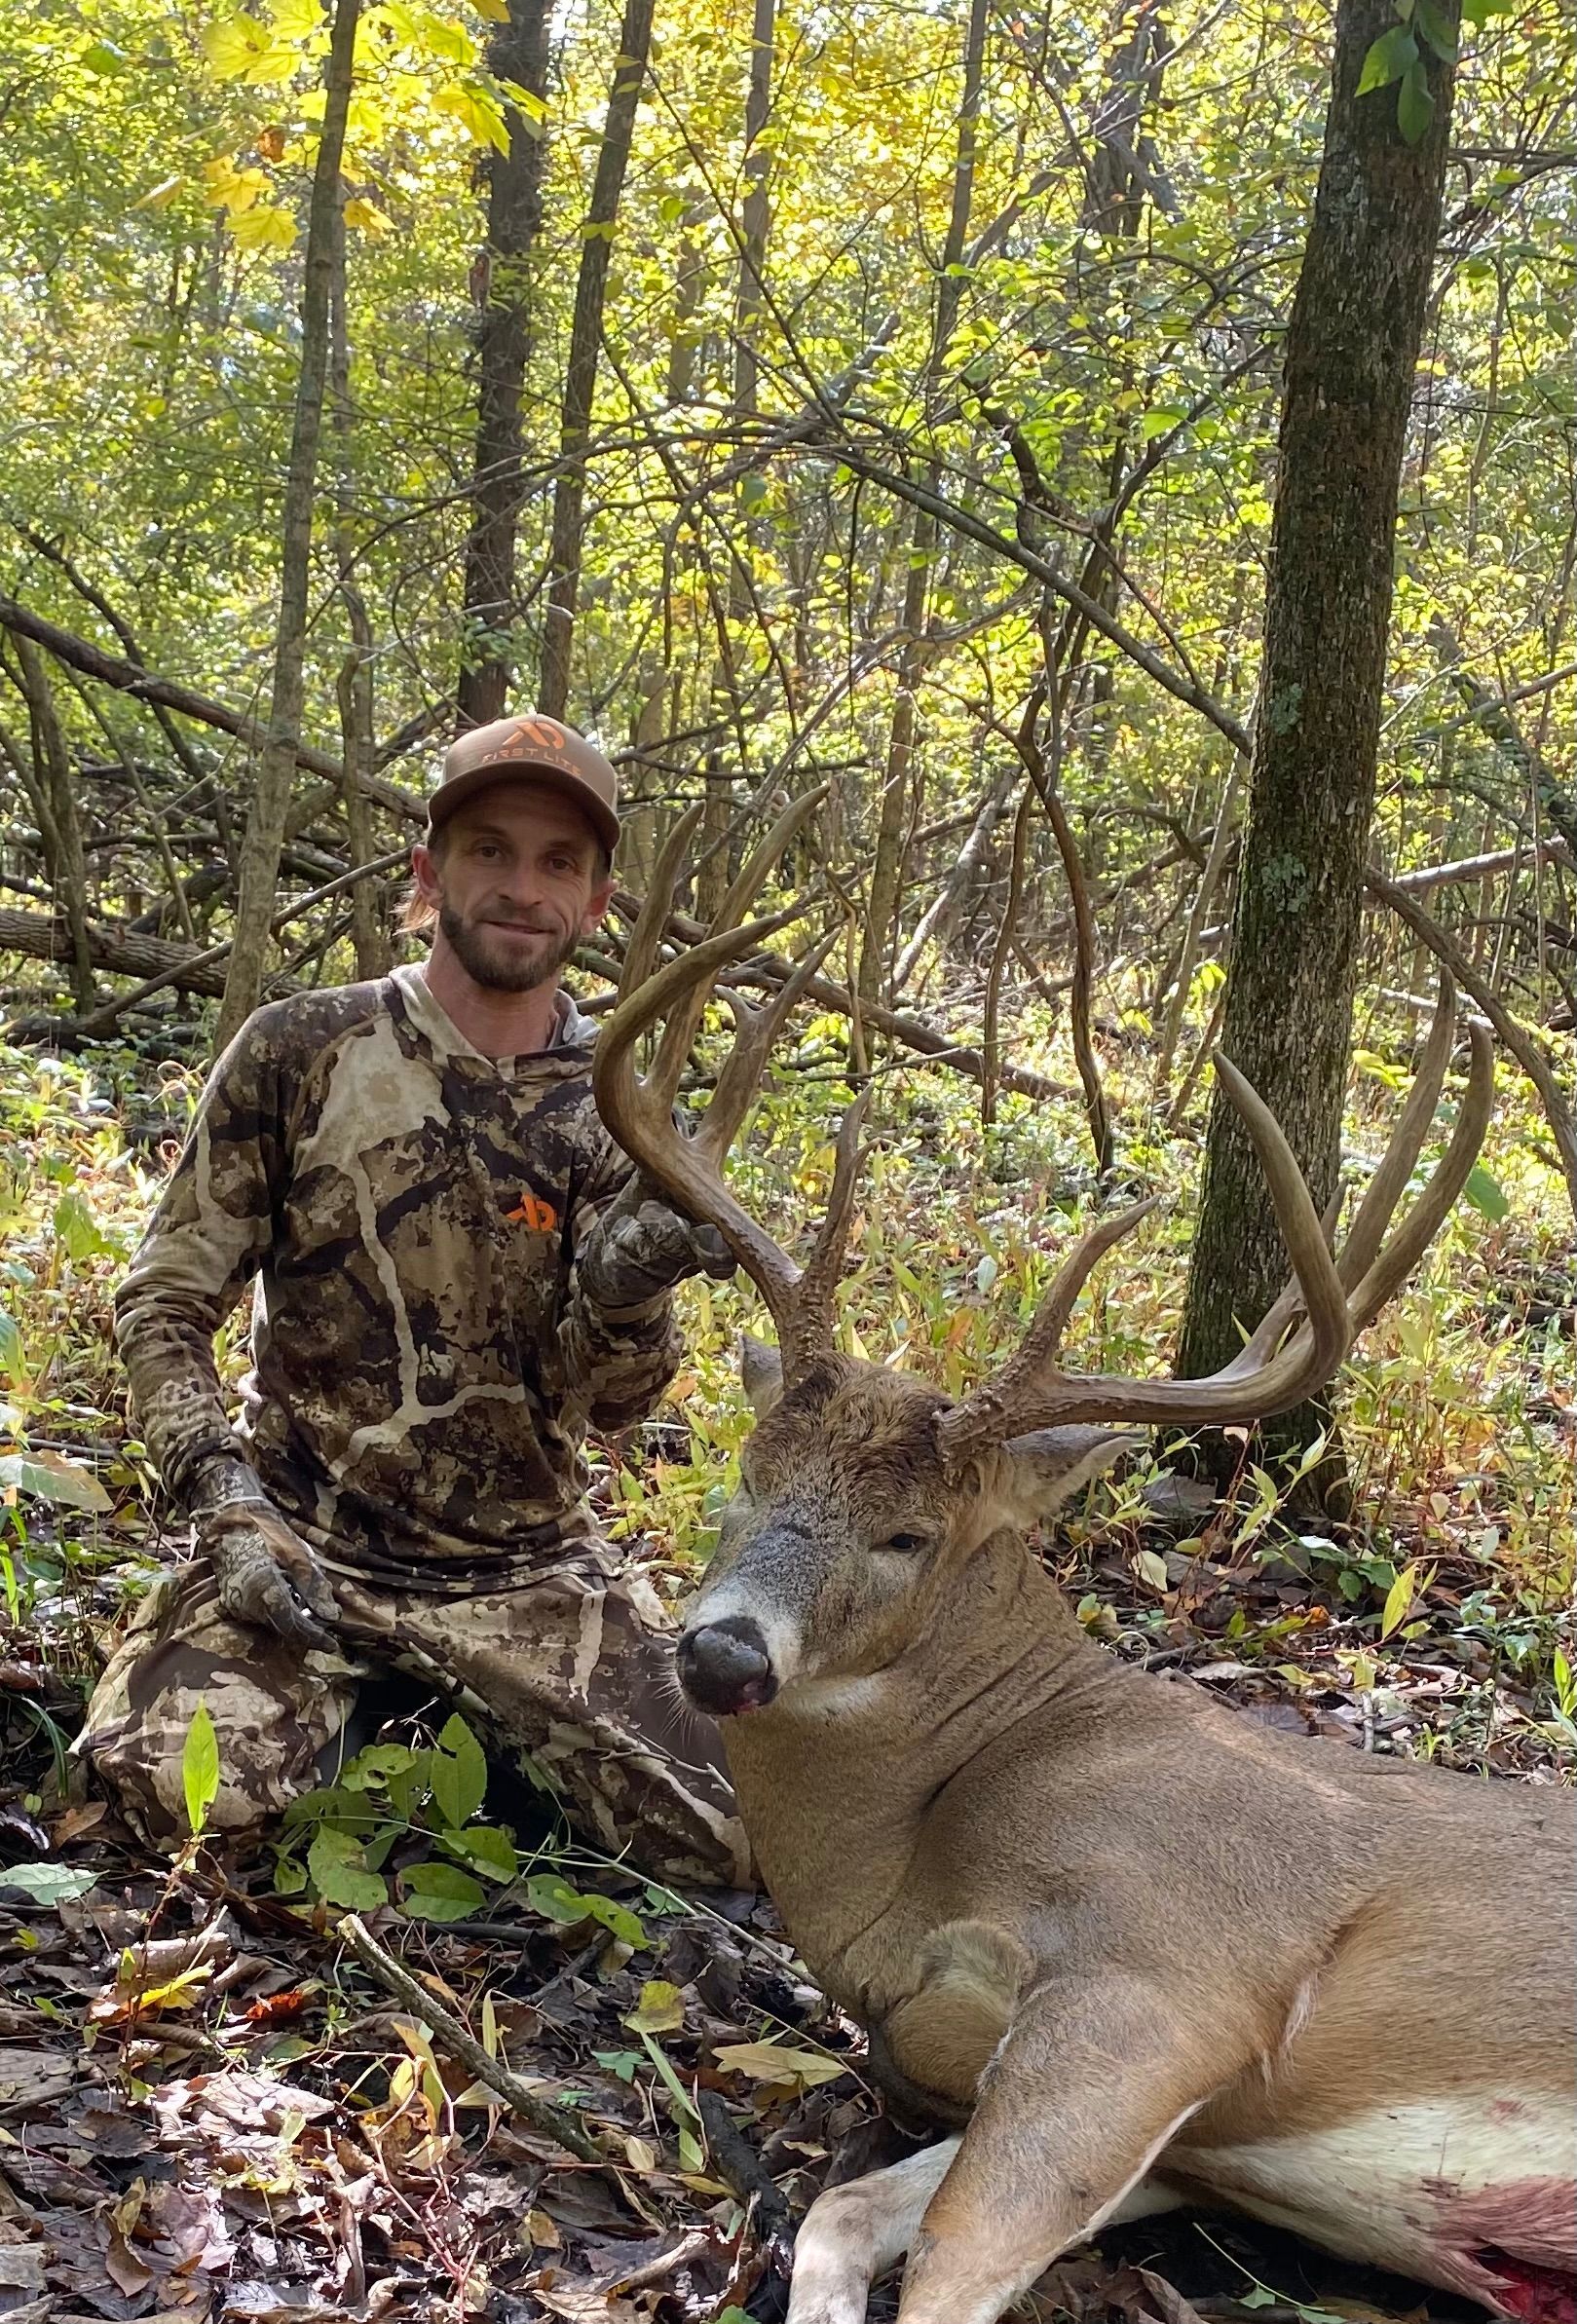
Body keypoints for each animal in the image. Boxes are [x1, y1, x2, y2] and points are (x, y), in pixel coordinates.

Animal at [593, 799, 1576, 2324]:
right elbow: (840, 2213)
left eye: (910, 1535)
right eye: (747, 1472)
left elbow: (944, 2270)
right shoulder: (1186, 2138)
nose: (720, 1651)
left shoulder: (1171, 1965)